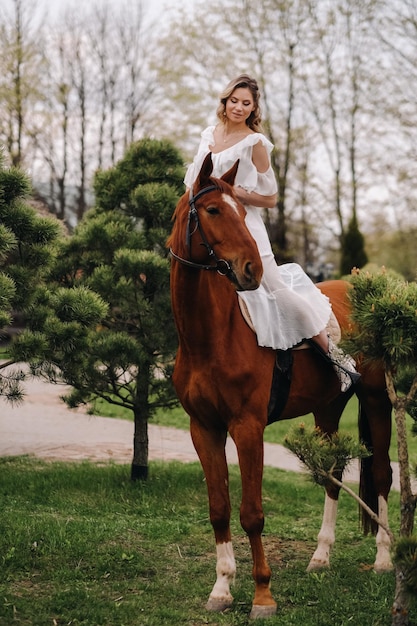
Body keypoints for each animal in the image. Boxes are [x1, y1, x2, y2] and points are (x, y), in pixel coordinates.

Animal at [167, 154, 394, 616]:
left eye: (242, 212)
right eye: (213, 210)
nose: (251, 269)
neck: (213, 335)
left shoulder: (247, 427)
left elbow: (252, 512)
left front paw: (262, 595)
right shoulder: (204, 429)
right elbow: (219, 508)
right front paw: (221, 589)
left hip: (378, 401)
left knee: (381, 474)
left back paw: (383, 559)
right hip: (328, 407)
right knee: (332, 473)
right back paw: (321, 557)